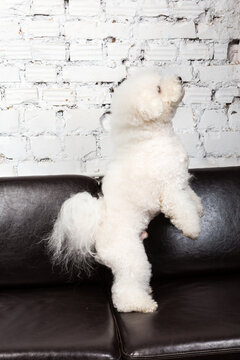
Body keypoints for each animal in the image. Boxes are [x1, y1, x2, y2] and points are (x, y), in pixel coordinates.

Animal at [48, 69, 202, 312]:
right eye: (158, 89)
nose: (178, 78)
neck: (151, 138)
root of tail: (98, 231)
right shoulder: (170, 189)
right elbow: (181, 209)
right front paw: (193, 230)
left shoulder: (181, 182)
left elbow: (191, 198)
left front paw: (200, 209)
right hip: (131, 259)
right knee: (125, 289)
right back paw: (142, 304)